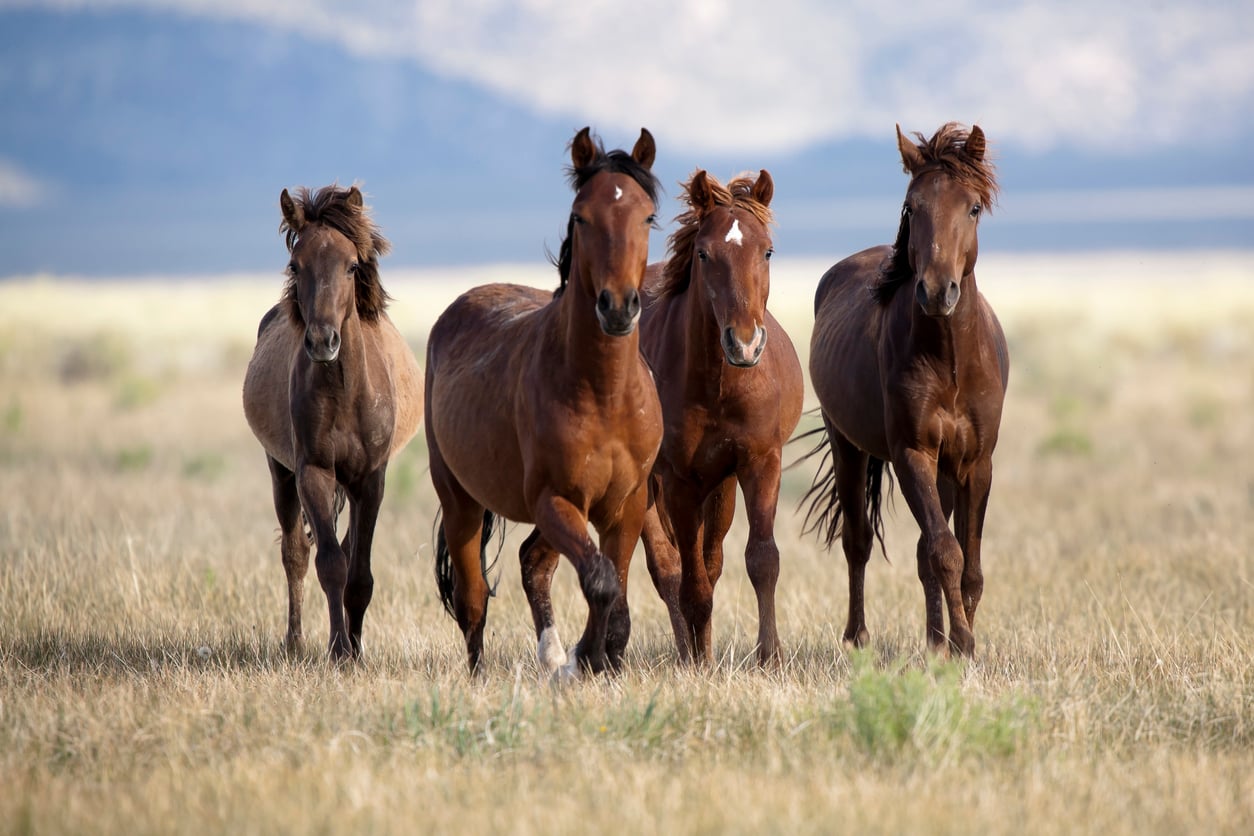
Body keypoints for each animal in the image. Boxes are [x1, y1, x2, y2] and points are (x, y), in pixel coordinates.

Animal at [242, 184, 423, 661]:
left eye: (352, 265)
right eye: (295, 264)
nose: (323, 341)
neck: (344, 391)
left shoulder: (370, 480)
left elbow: (359, 573)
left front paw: (354, 649)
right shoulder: (314, 473)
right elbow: (330, 566)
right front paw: (339, 651)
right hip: (280, 472)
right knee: (296, 554)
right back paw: (295, 642)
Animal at [425, 127, 663, 677]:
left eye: (647, 216)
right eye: (581, 216)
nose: (618, 307)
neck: (604, 395)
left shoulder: (626, 504)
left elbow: (615, 589)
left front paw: (599, 659)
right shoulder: (556, 499)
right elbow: (601, 580)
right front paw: (586, 658)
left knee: (534, 563)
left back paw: (553, 657)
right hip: (461, 500)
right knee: (473, 598)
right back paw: (485, 675)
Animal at [638, 169, 803, 666]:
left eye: (766, 250)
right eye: (703, 253)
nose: (745, 344)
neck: (718, 385)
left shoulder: (759, 463)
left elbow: (761, 560)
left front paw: (770, 656)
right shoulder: (678, 481)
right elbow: (690, 583)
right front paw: (697, 664)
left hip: (721, 486)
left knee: (710, 563)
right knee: (670, 568)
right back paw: (689, 653)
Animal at [805, 123, 1008, 657]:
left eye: (972, 207)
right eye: (911, 207)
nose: (937, 291)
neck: (951, 362)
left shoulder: (975, 463)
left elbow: (968, 566)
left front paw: (958, 641)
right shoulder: (912, 453)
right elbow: (946, 552)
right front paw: (963, 643)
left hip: (944, 469)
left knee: (920, 553)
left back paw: (934, 640)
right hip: (848, 446)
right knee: (857, 542)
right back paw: (858, 636)